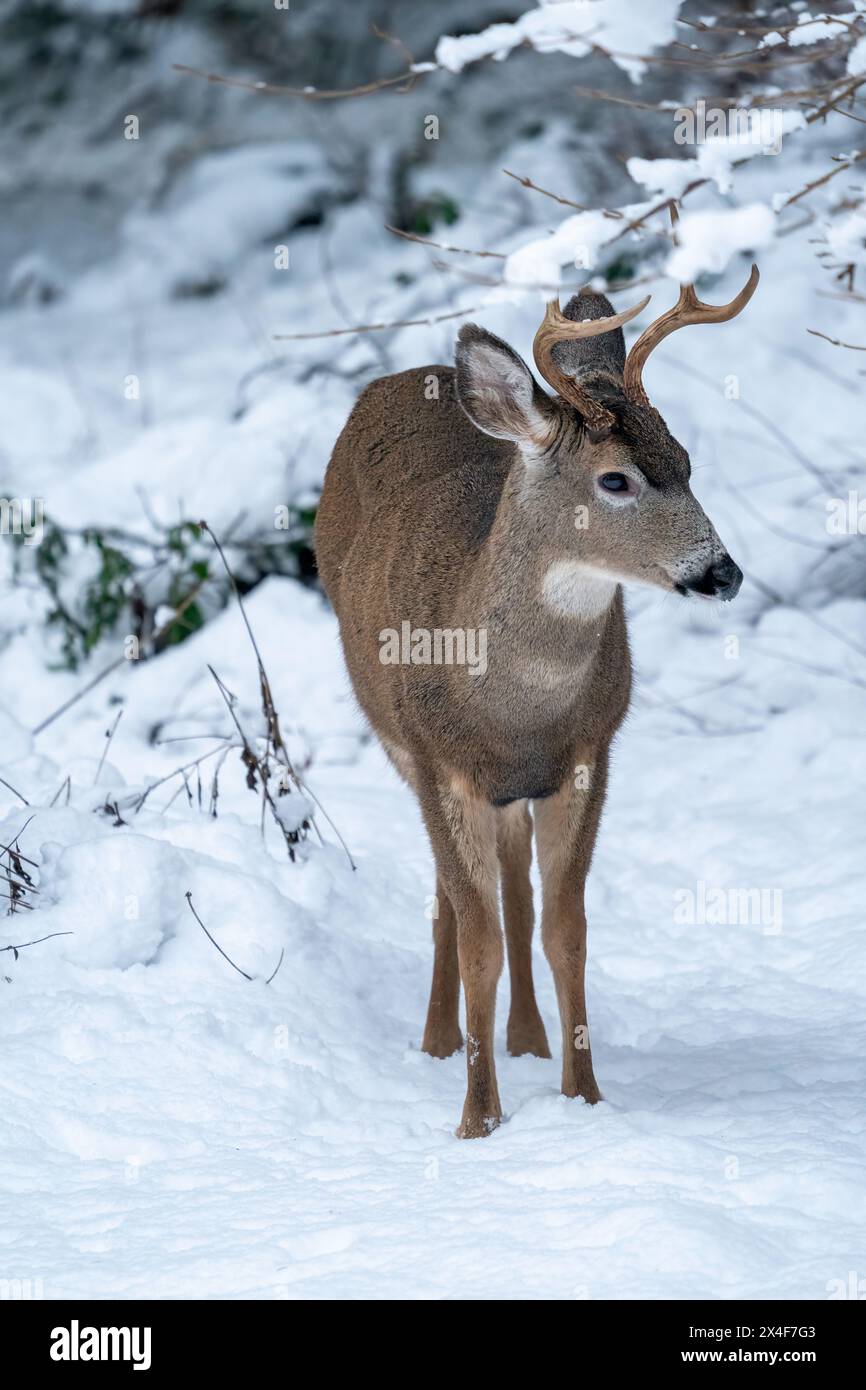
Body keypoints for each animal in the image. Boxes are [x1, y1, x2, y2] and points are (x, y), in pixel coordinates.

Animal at [316, 230, 756, 1139]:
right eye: (616, 479)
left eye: (686, 463)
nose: (722, 572)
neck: (514, 707)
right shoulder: (439, 761)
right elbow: (478, 937)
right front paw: (478, 1120)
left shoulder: (588, 751)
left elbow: (565, 929)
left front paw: (583, 1096)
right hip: (399, 745)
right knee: (454, 900)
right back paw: (441, 1040)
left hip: (512, 789)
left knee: (513, 888)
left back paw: (525, 1038)